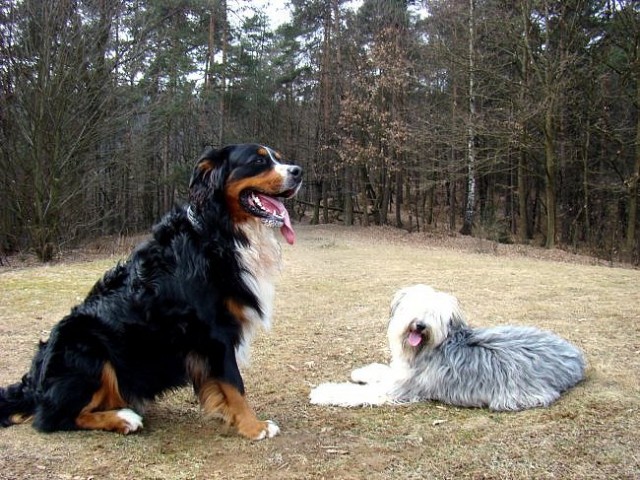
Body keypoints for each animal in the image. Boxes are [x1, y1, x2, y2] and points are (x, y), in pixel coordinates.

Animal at [0, 142, 302, 438]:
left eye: (278, 158)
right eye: (258, 161)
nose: (298, 171)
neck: (219, 231)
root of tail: (35, 380)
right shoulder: (215, 332)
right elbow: (234, 383)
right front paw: (254, 427)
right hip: (89, 349)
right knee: (54, 418)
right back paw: (123, 419)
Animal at [310, 284, 584, 410]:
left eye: (434, 314)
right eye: (414, 307)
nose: (420, 325)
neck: (430, 348)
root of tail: (577, 357)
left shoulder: (399, 388)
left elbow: (356, 392)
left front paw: (324, 392)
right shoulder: (400, 373)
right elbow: (382, 370)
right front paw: (361, 372)